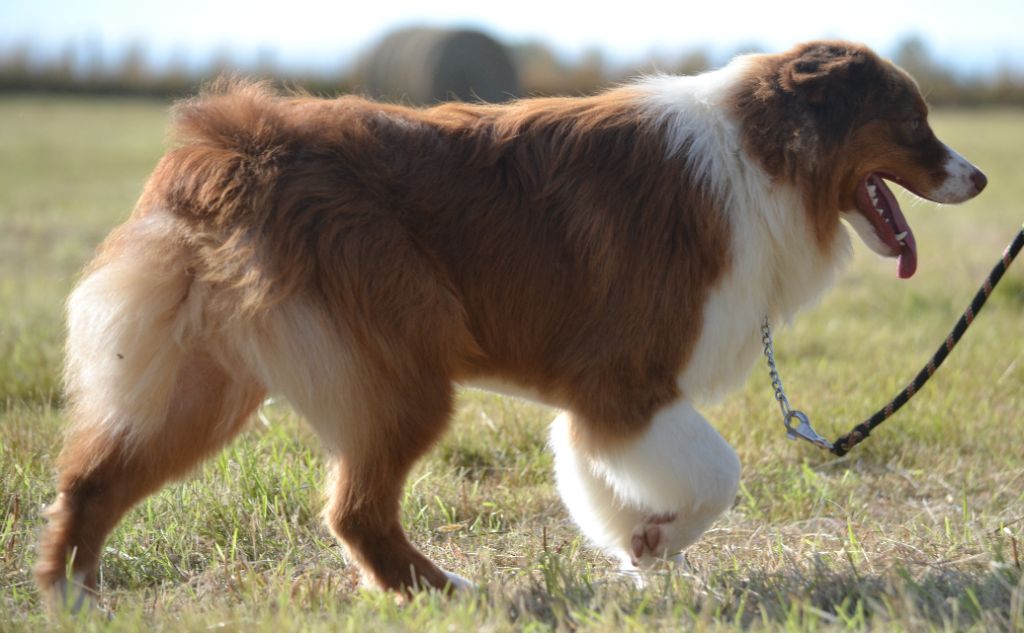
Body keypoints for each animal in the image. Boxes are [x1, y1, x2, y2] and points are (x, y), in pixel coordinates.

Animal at [37, 39, 983, 602]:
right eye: (914, 122)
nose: (976, 178)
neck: (764, 154)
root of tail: (222, 144)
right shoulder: (627, 382)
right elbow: (719, 472)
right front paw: (655, 542)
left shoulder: (605, 401)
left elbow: (597, 477)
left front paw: (639, 552)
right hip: (403, 371)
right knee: (355, 510)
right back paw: (445, 591)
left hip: (207, 383)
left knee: (95, 479)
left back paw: (71, 594)